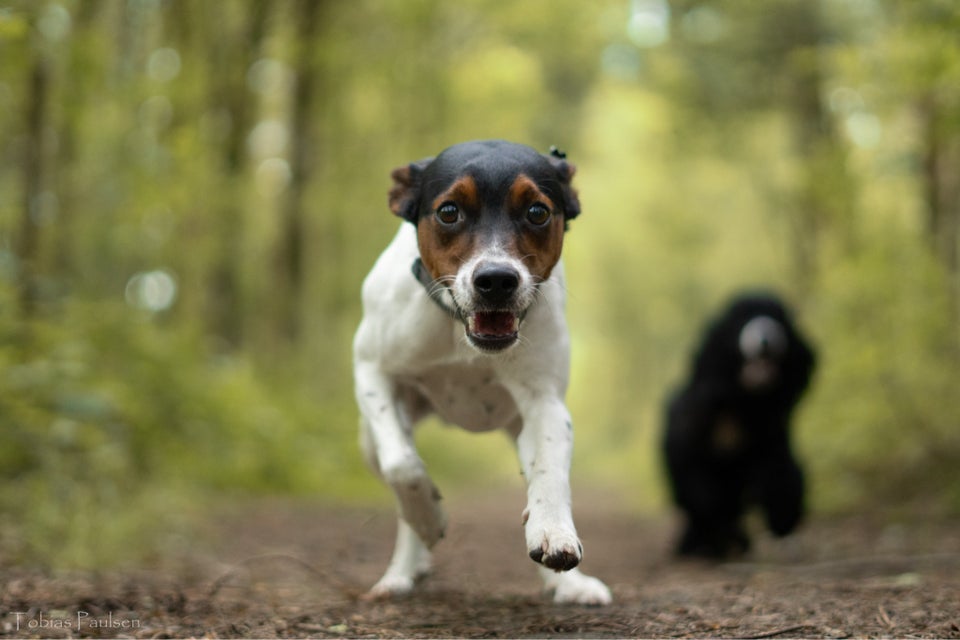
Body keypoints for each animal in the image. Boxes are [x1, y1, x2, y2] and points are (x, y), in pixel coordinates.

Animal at [354, 140, 616, 604]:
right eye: (448, 211)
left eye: (537, 212)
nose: (496, 279)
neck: (463, 333)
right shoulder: (371, 370)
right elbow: (403, 465)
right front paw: (429, 517)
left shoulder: (545, 403)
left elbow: (550, 471)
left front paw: (553, 532)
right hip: (369, 438)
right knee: (397, 478)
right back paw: (404, 569)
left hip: (518, 429)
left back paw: (568, 586)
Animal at [664, 292, 812, 556]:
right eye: (741, 319)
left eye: (779, 318)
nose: (767, 336)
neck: (744, 401)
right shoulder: (695, 420)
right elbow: (701, 486)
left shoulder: (772, 430)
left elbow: (780, 475)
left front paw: (783, 528)